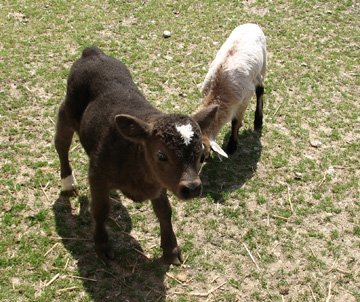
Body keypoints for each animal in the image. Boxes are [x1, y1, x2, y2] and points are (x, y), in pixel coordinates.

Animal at [198, 23, 266, 158]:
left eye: (202, 157)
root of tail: (252, 24)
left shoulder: (244, 99)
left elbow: (235, 121)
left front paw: (232, 145)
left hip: (263, 65)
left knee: (260, 88)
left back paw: (258, 120)